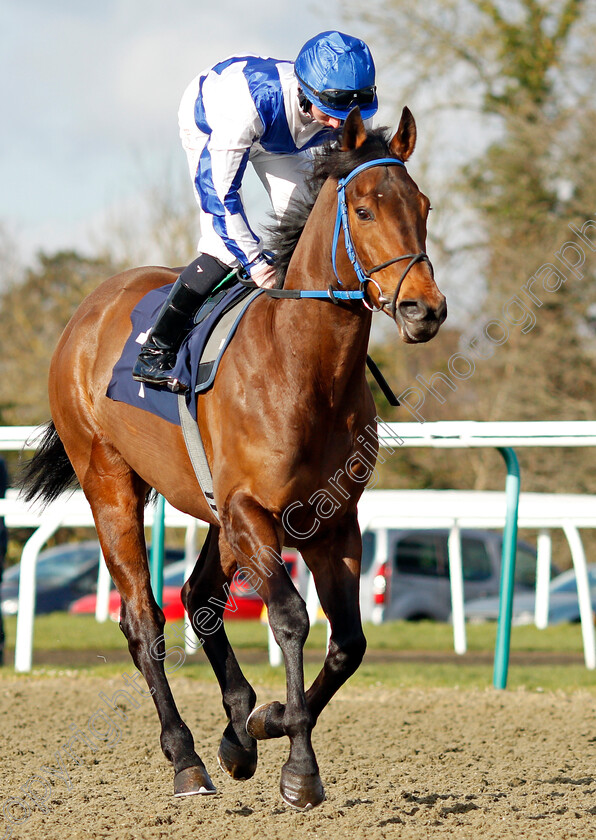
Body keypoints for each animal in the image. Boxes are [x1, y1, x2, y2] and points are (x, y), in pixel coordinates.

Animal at [21, 108, 444, 812]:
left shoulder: (332, 521)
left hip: (215, 513)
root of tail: (89, 310)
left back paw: (237, 728)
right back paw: (187, 758)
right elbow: (292, 618)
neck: (304, 370)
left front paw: (263, 723)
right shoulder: (251, 509)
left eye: (424, 206)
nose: (424, 309)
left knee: (196, 597)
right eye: (362, 208)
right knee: (144, 620)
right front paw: (299, 766)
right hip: (110, 482)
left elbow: (349, 643)